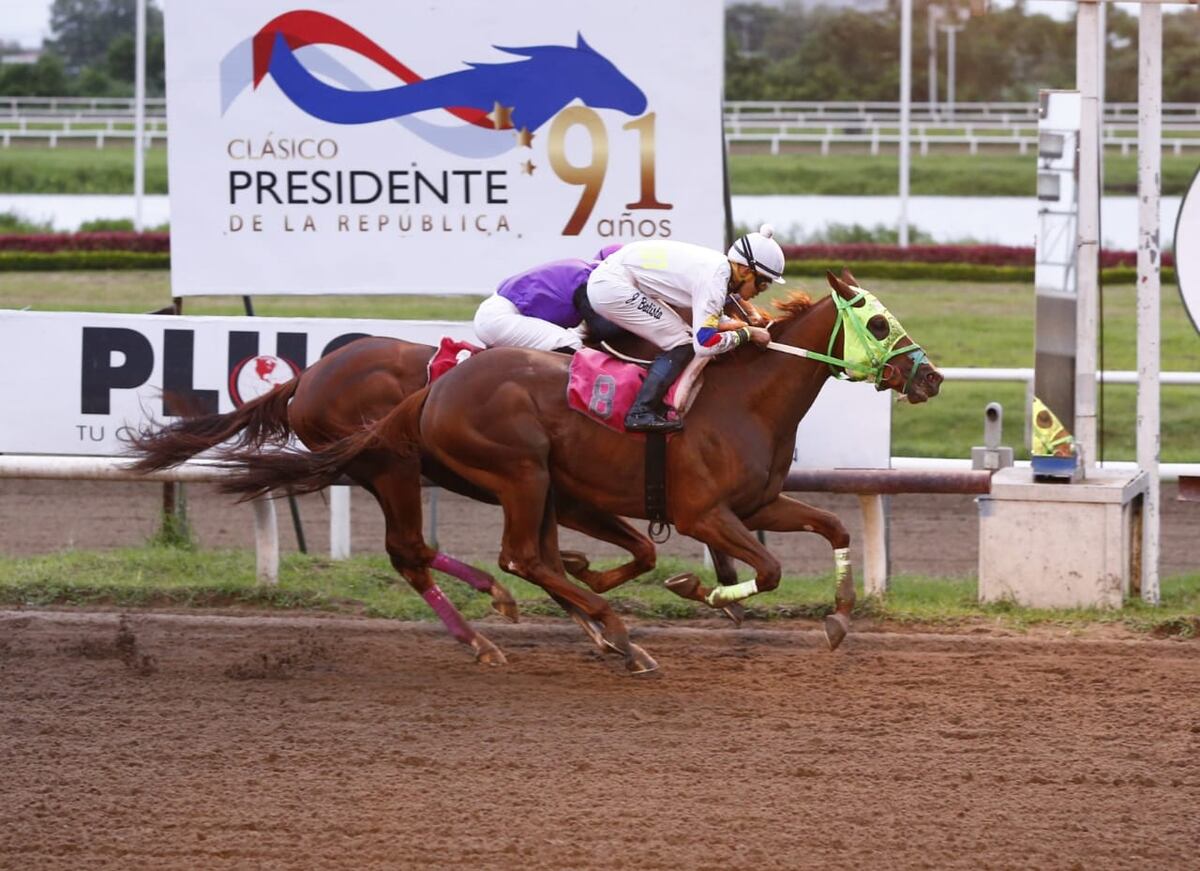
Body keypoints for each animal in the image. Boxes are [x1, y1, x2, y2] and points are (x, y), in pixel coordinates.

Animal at [213, 273, 945, 676]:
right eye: (879, 321)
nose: (931, 377)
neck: (741, 398)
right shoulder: (702, 512)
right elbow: (764, 569)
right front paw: (696, 588)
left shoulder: (757, 503)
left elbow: (834, 526)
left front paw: (840, 618)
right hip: (497, 471)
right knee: (483, 553)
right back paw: (595, 632)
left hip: (516, 482)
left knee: (508, 555)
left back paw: (578, 623)